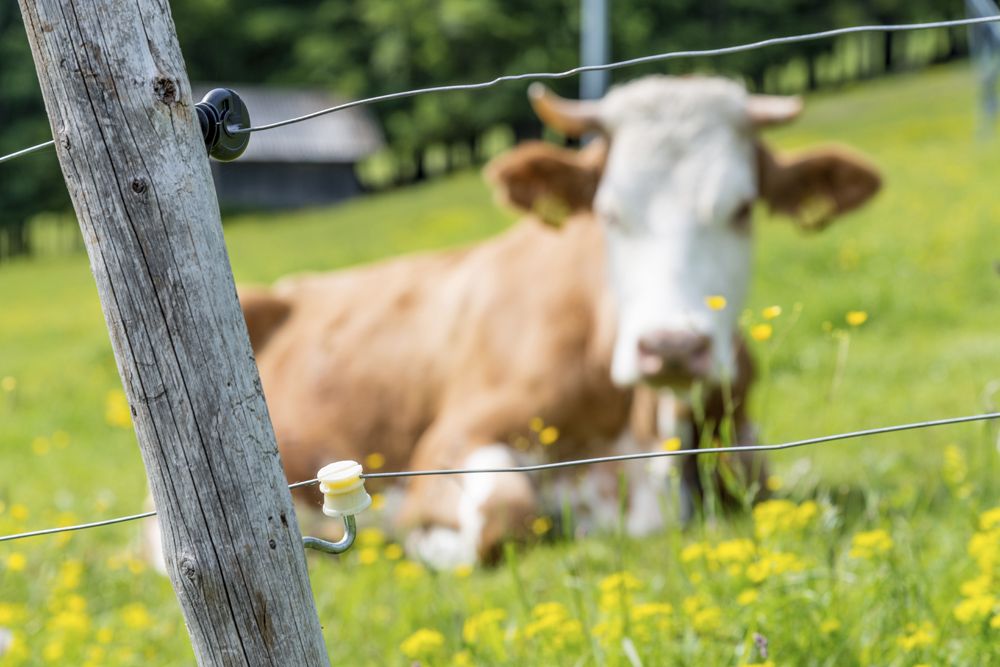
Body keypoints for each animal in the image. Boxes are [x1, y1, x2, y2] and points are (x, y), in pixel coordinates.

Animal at [150, 75, 884, 572]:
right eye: (609, 211)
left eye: (742, 208)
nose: (672, 346)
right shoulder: (446, 444)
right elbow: (505, 511)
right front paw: (429, 541)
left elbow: (752, 472)